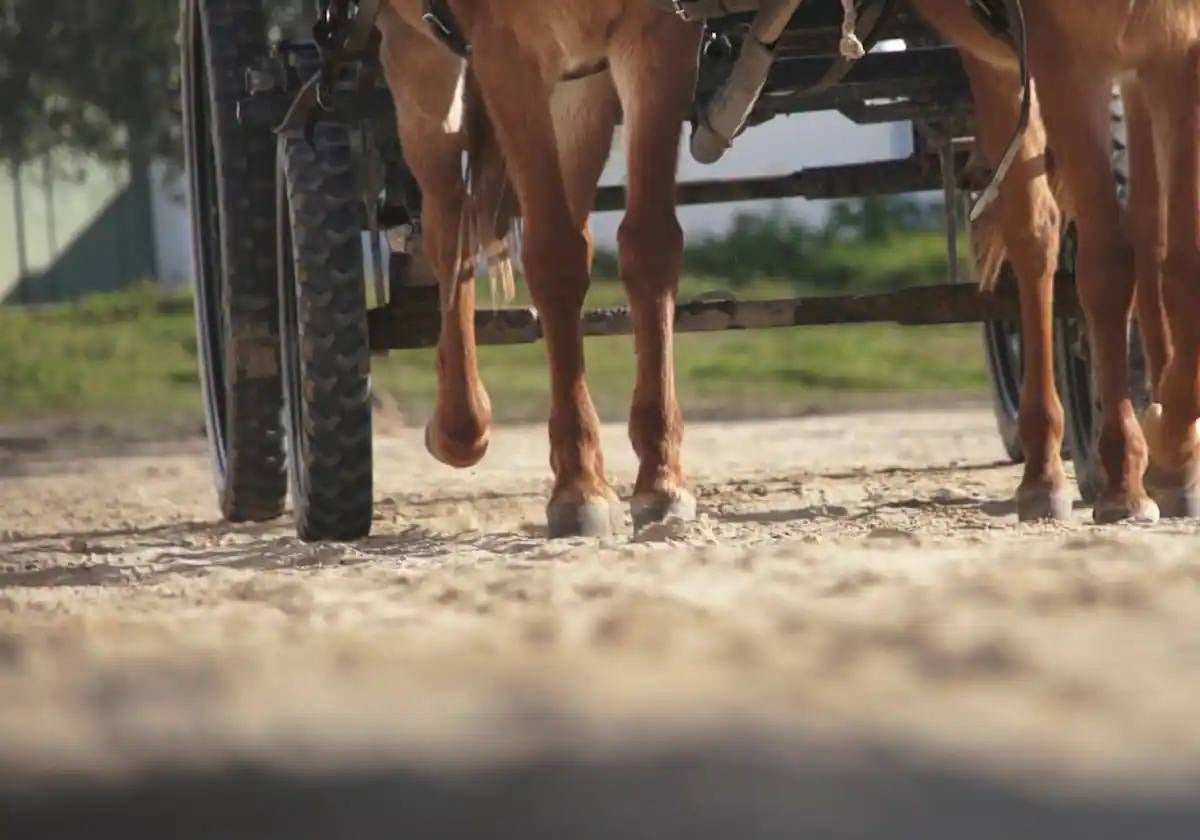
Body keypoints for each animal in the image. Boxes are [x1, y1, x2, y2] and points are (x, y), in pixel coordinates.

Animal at [379, 0, 700, 535]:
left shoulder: (658, 33)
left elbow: (650, 246)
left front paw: (660, 478)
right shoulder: (509, 54)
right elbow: (554, 256)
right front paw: (580, 486)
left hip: (578, 90)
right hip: (416, 56)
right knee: (448, 224)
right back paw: (458, 422)